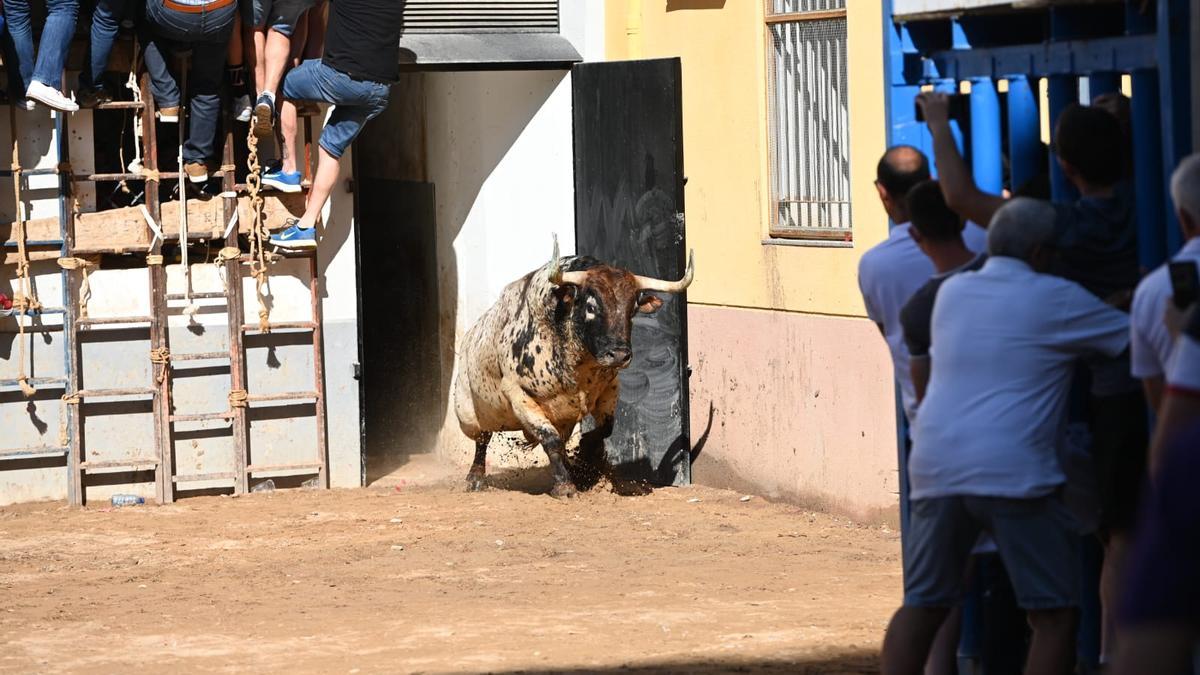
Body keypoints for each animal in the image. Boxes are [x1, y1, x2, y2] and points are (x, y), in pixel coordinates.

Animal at [451, 236, 696, 494]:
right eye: (591, 307)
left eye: (632, 309)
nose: (619, 355)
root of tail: (467, 341)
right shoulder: (520, 396)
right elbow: (550, 440)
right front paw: (565, 485)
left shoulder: (609, 390)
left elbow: (604, 429)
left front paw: (585, 459)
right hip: (468, 413)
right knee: (482, 440)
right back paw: (475, 478)